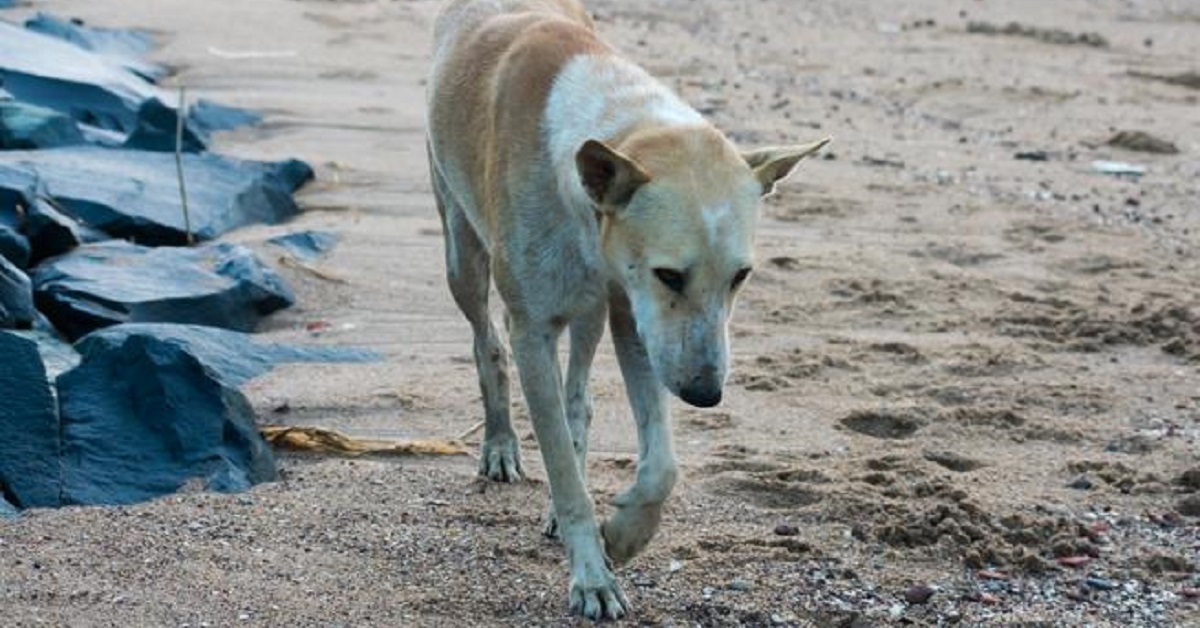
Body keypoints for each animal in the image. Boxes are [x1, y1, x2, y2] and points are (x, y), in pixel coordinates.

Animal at [427, 0, 830, 619]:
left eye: (741, 276)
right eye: (670, 274)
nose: (706, 394)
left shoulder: (635, 320)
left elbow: (660, 465)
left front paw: (623, 535)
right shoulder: (535, 331)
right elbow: (564, 473)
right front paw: (592, 578)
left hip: (591, 312)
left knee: (578, 395)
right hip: (461, 253)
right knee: (486, 343)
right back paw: (499, 445)